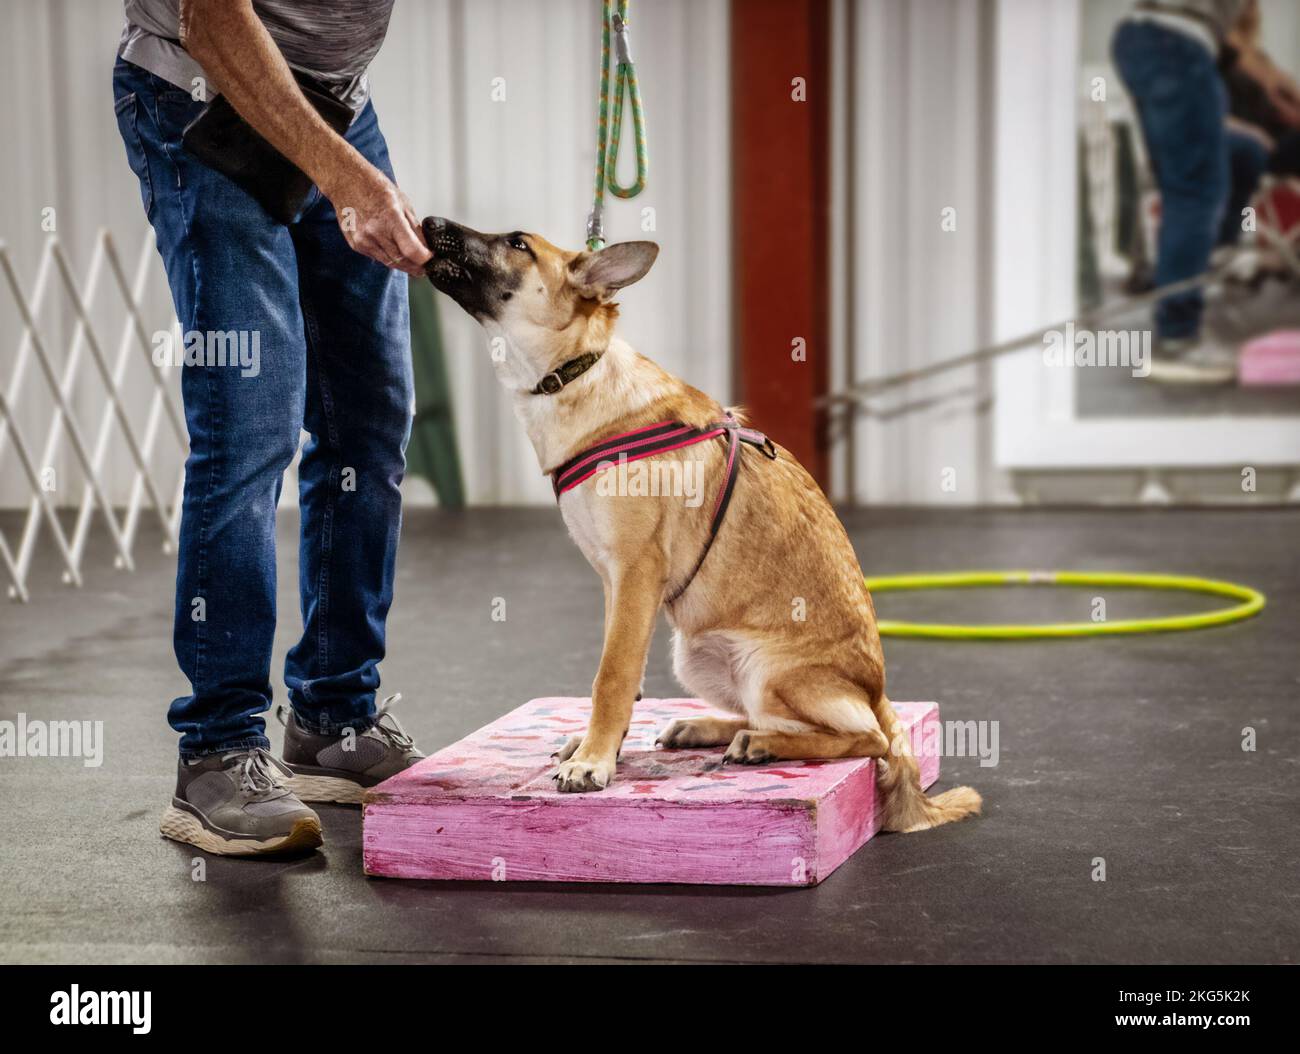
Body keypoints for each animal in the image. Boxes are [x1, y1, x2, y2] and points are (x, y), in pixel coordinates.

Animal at [421, 217, 977, 831]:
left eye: (518, 243)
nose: (429, 222)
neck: (576, 374)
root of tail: (878, 692)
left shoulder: (636, 574)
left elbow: (611, 676)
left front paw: (593, 761)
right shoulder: (615, 585)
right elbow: (620, 676)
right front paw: (598, 745)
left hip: (766, 668)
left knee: (863, 737)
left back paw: (763, 744)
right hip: (696, 655)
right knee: (783, 720)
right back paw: (712, 728)